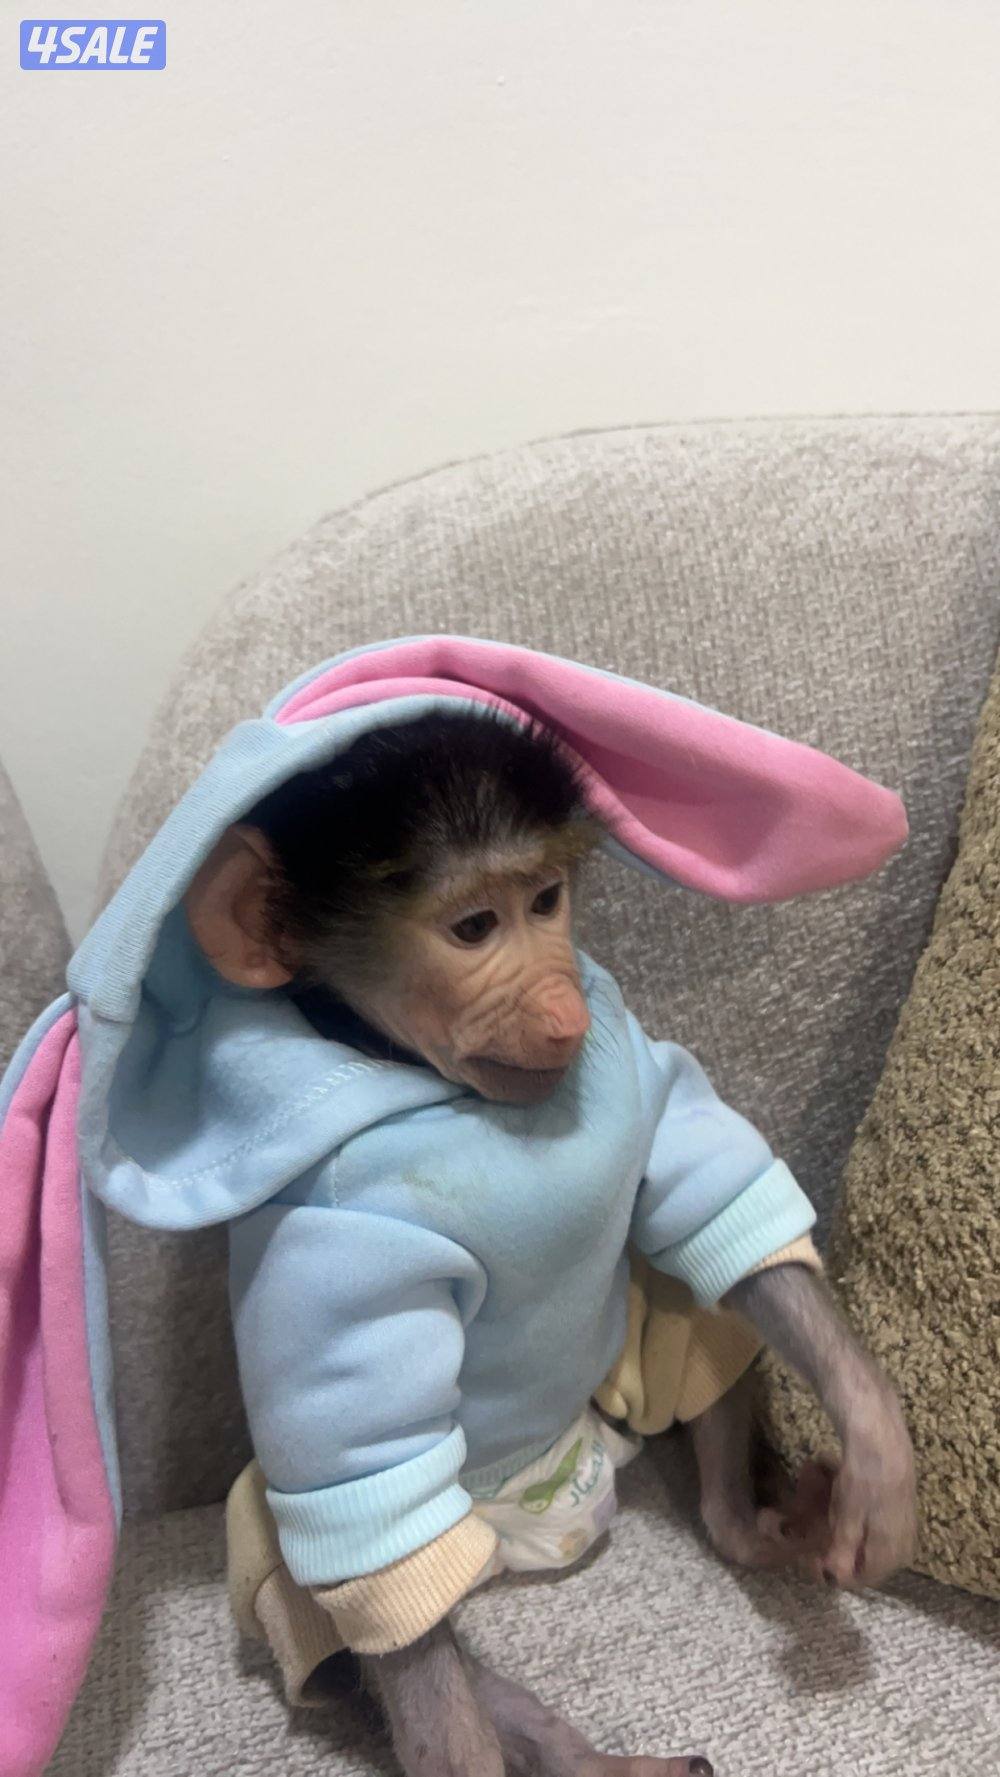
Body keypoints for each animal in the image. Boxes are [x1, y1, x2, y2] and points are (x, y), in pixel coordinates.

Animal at [186, 707, 917, 1777]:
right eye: (473, 928)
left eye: (545, 900)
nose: (566, 1010)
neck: (440, 1083)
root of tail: (563, 1503)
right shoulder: (322, 1235)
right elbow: (361, 1450)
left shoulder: (629, 1045)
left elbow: (702, 1184)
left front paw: (877, 1452)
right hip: (336, 1543)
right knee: (347, 1607)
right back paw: (588, 1757)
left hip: (627, 1367)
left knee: (700, 1314)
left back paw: (751, 1527)